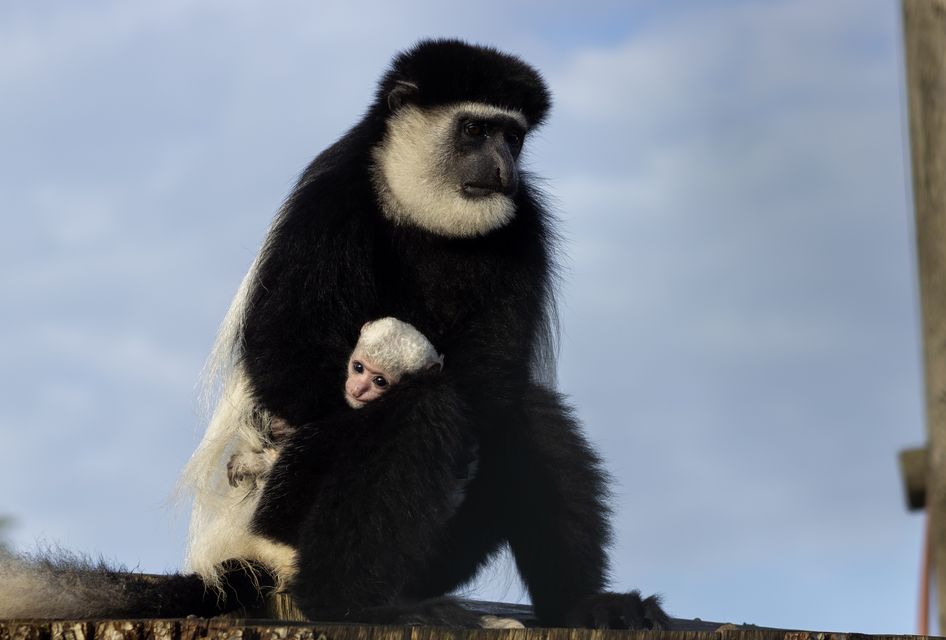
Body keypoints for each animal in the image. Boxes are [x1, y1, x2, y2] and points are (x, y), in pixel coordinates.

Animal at [0, 39, 669, 630]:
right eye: (476, 131)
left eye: (515, 136)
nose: (504, 166)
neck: (422, 211)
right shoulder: (331, 197)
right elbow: (284, 354)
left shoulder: (521, 222)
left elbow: (497, 368)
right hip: (279, 520)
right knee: (419, 416)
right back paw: (352, 604)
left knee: (524, 412)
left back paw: (589, 606)